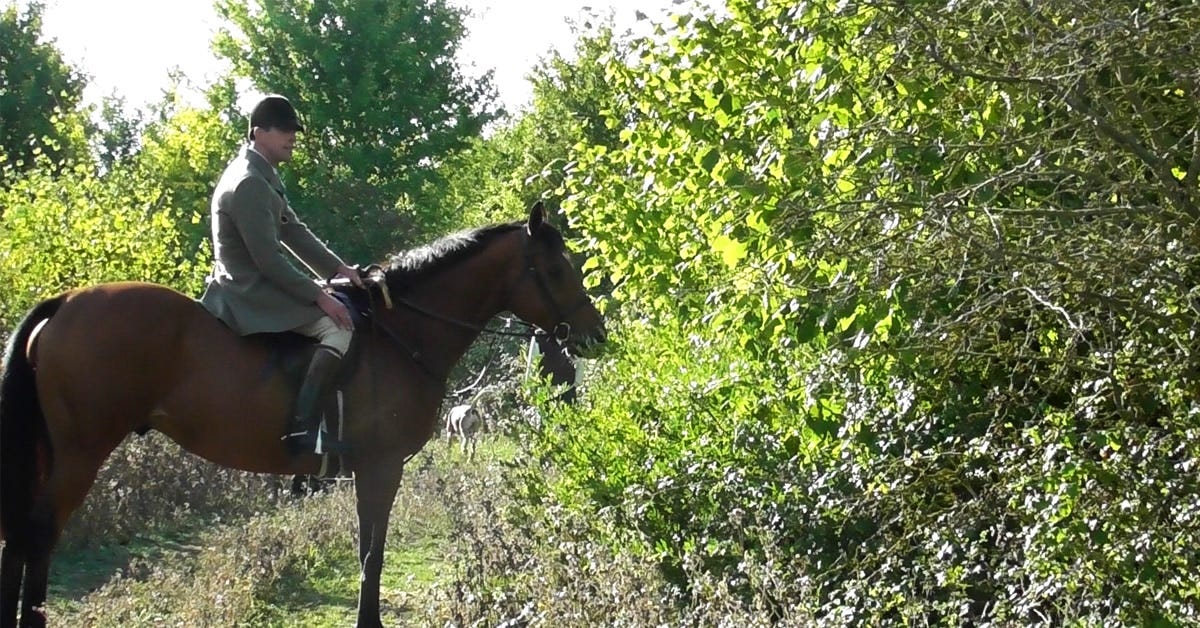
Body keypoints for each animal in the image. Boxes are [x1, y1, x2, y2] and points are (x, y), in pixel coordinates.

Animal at [0, 204, 600, 624]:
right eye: (556, 267)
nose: (594, 333)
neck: (402, 333)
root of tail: (63, 303)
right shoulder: (382, 467)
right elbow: (372, 555)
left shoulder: (371, 471)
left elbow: (366, 550)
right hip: (80, 453)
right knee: (39, 534)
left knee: (22, 538)